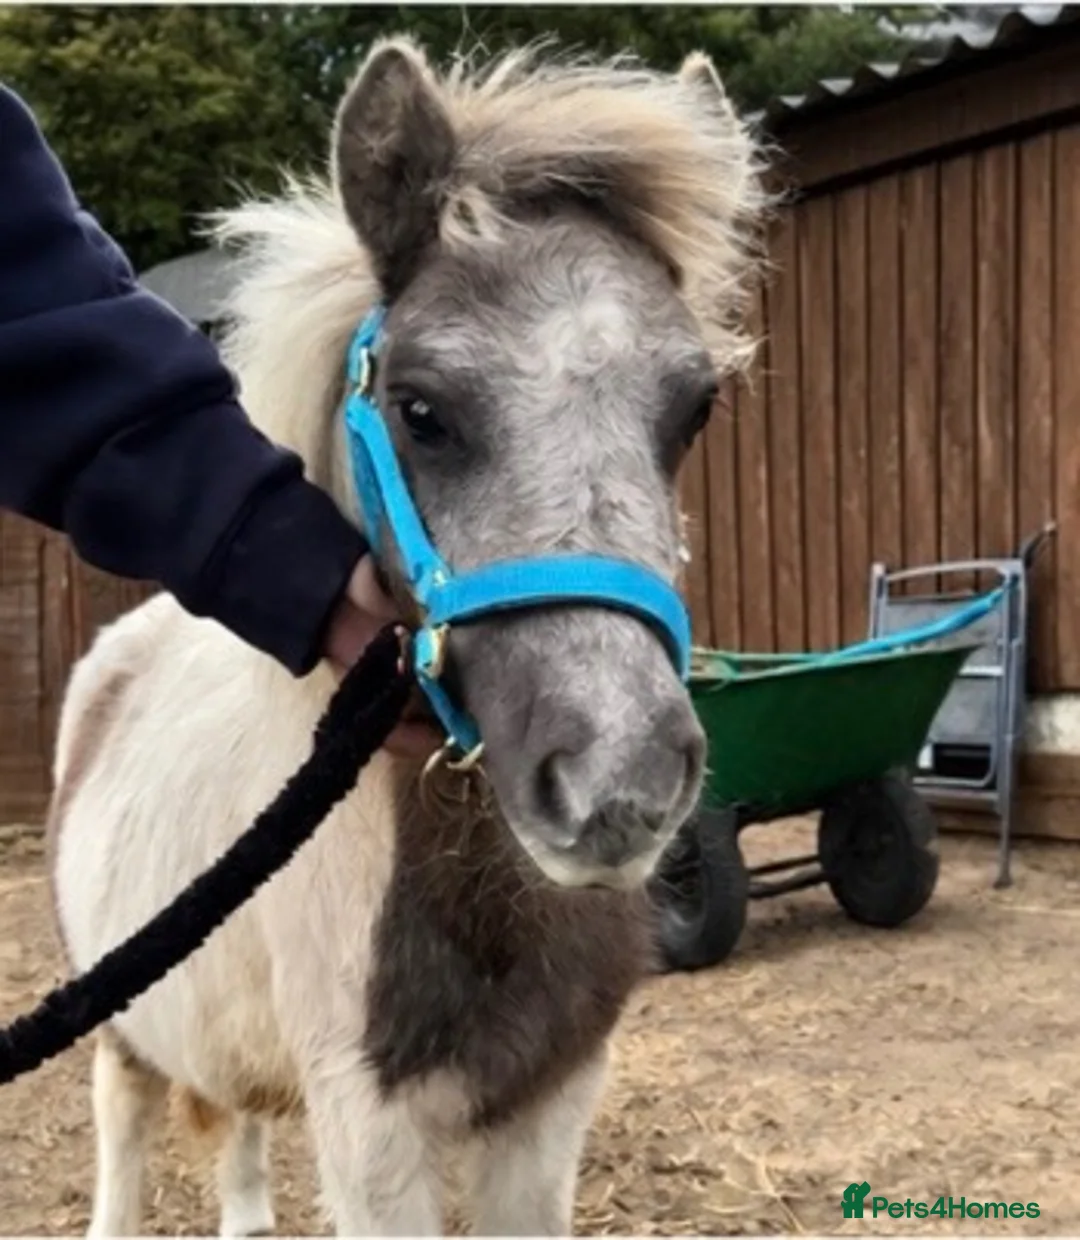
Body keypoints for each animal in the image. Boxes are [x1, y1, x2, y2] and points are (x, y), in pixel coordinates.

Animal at [47, 35, 767, 1236]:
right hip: (122, 1031)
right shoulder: (369, 1131)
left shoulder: (553, 1104)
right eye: (421, 409)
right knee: (125, 1142)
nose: (618, 783)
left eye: (694, 408)